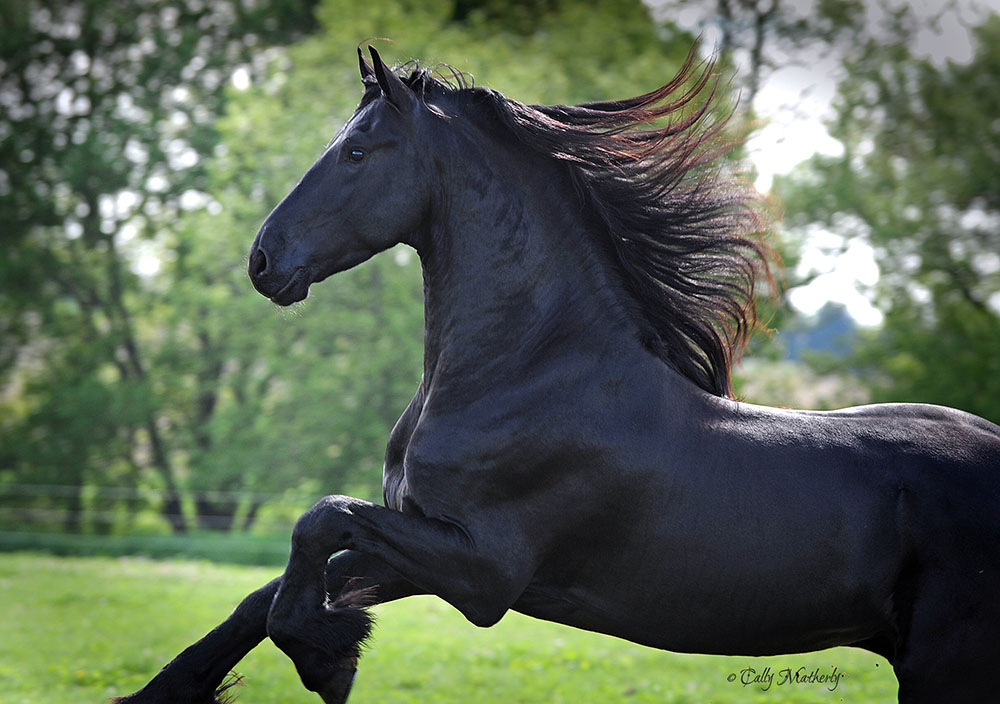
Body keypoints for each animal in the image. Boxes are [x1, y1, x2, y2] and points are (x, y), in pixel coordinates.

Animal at [114, 46, 1000, 704]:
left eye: (357, 151)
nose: (264, 261)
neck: (525, 372)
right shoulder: (417, 545)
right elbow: (271, 589)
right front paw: (174, 686)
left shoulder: (482, 572)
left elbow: (319, 519)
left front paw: (327, 657)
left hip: (945, 669)